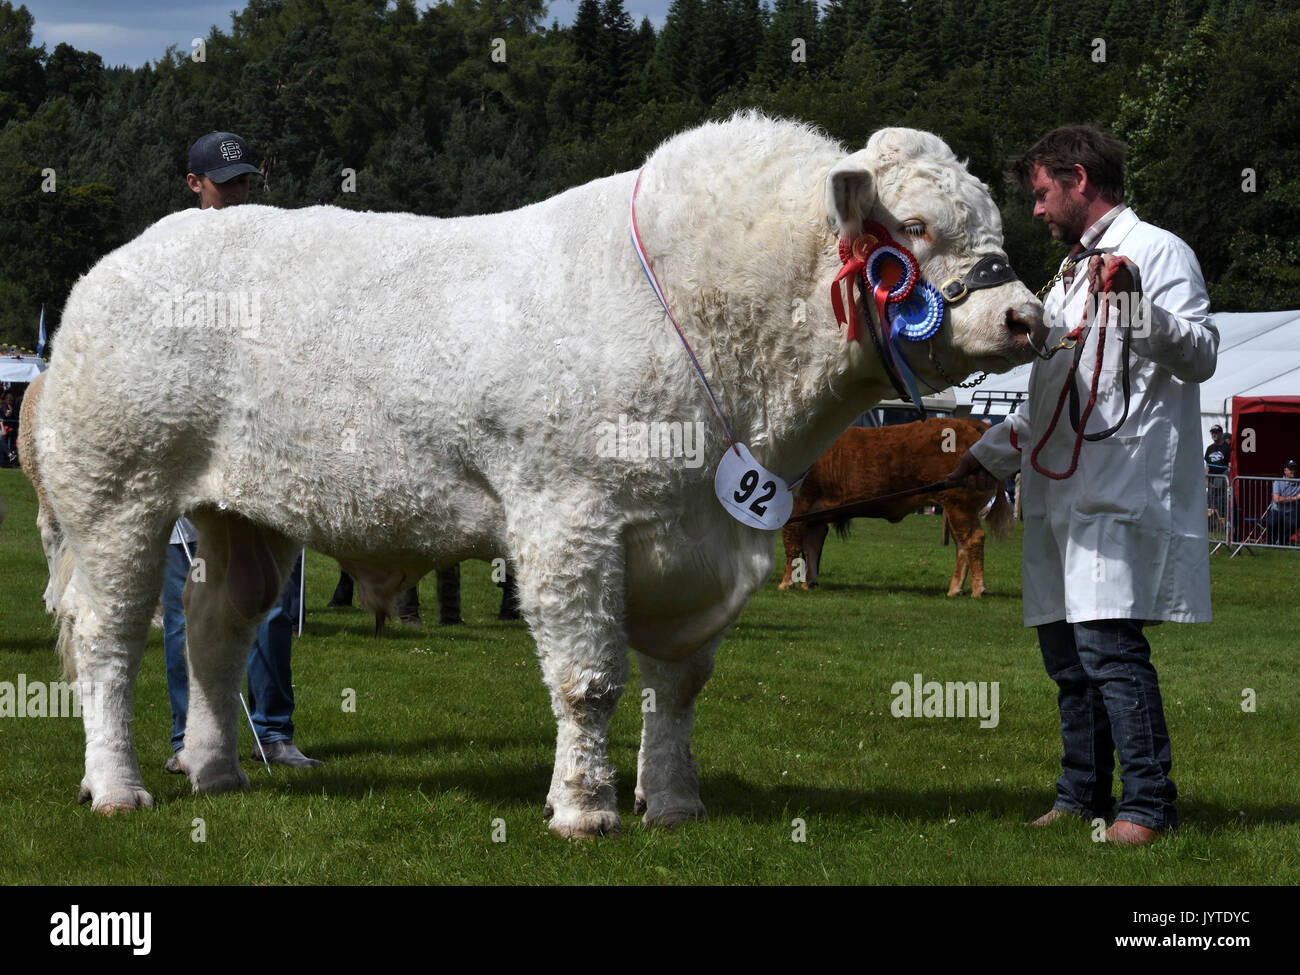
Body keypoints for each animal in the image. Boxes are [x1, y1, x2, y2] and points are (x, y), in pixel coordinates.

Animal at [778, 418, 1012, 597]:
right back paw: (955, 589)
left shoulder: (796, 508)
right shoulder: (813, 518)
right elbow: (810, 549)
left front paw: (785, 584)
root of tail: (967, 422)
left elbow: (792, 547)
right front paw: (809, 584)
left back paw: (978, 590)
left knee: (973, 539)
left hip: (959, 505)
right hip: (956, 508)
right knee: (961, 545)